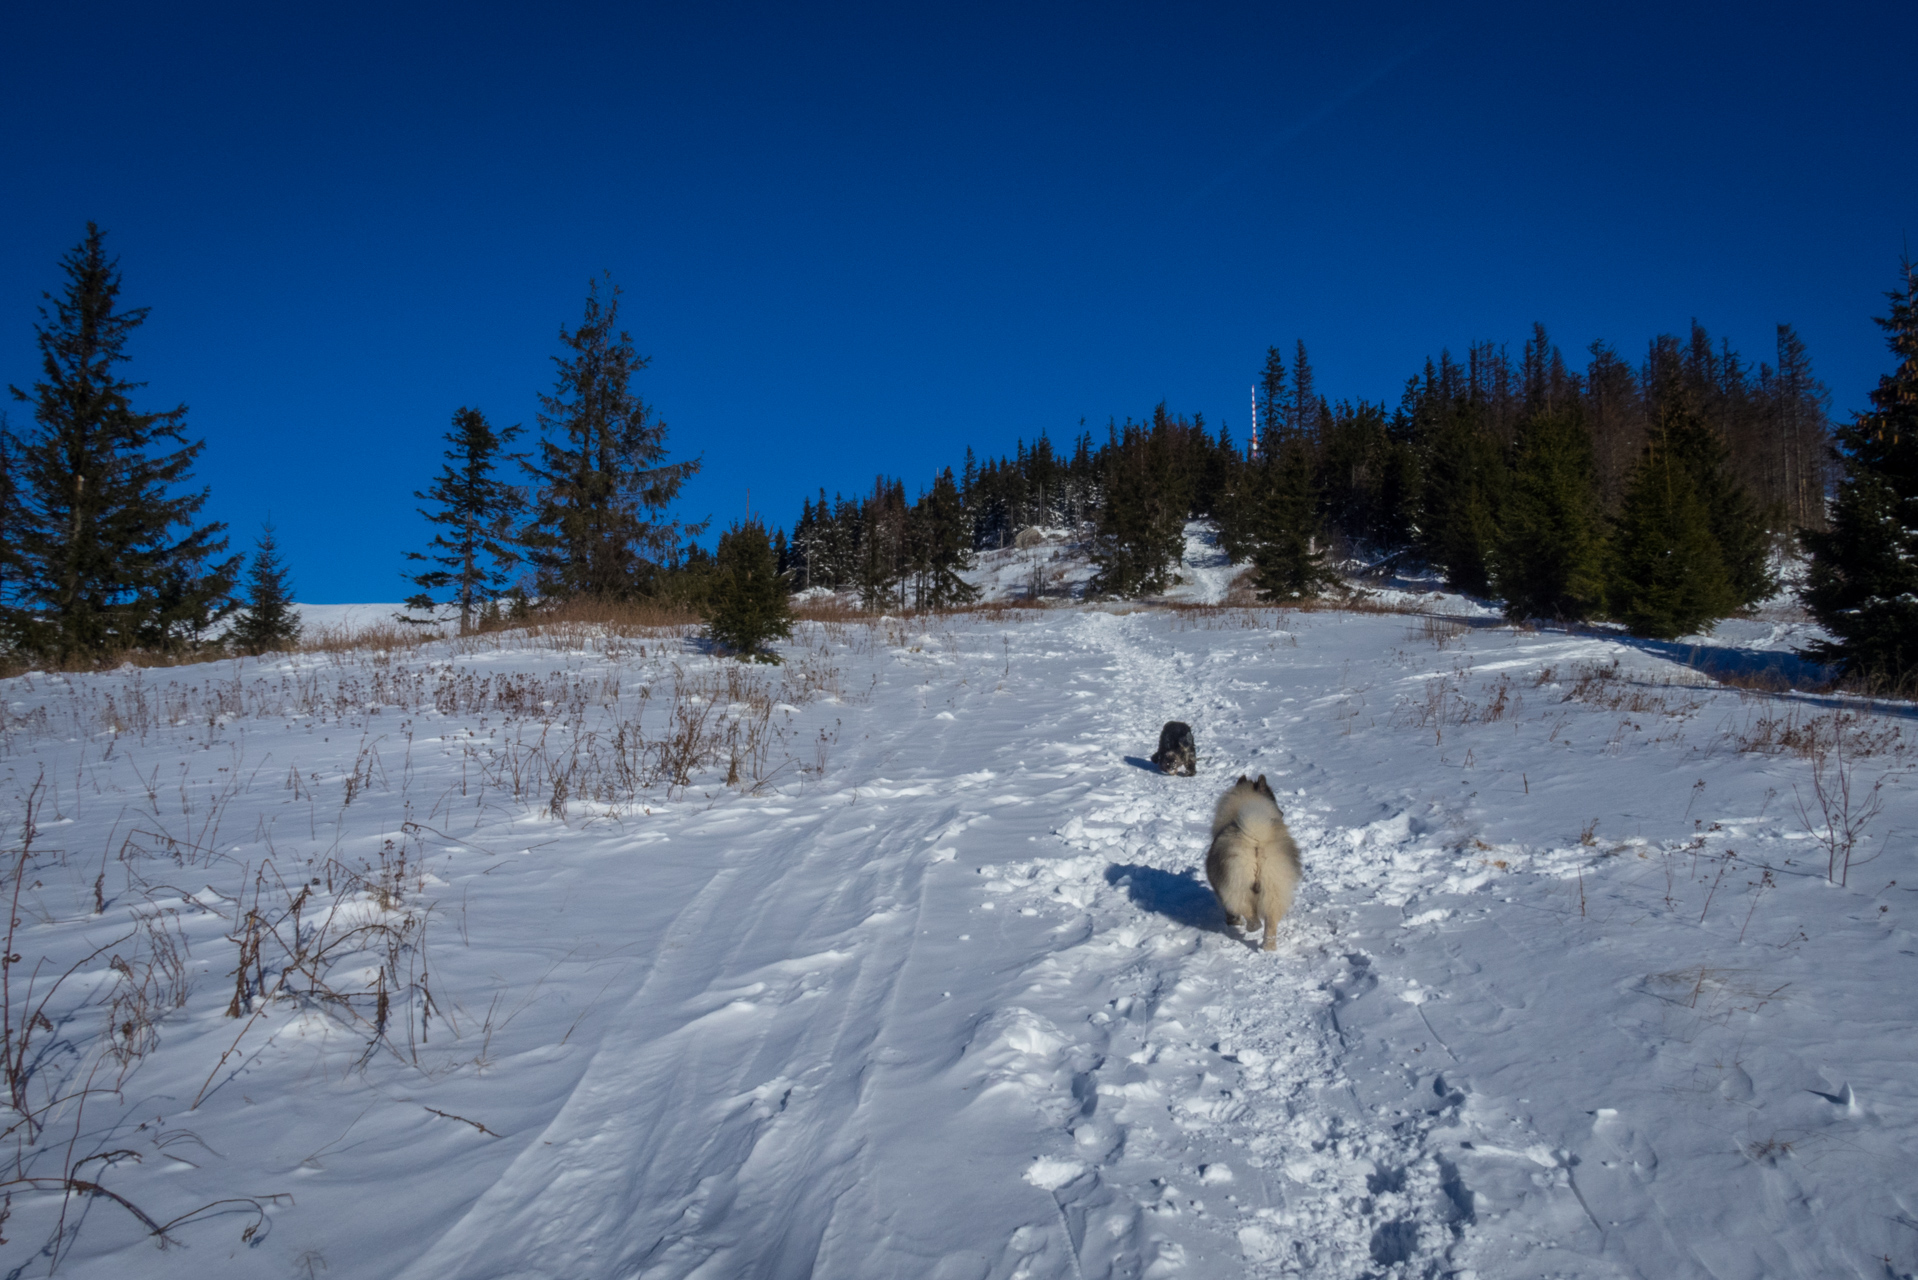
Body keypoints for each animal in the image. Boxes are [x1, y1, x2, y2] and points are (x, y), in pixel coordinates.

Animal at [1196, 771, 1304, 951]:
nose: (1282, 813)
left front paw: (1233, 922)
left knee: (1247, 910)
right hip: (1274, 886)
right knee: (1270, 922)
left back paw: (1252, 927)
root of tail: (1256, 837)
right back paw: (1268, 947)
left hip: (1237, 883)